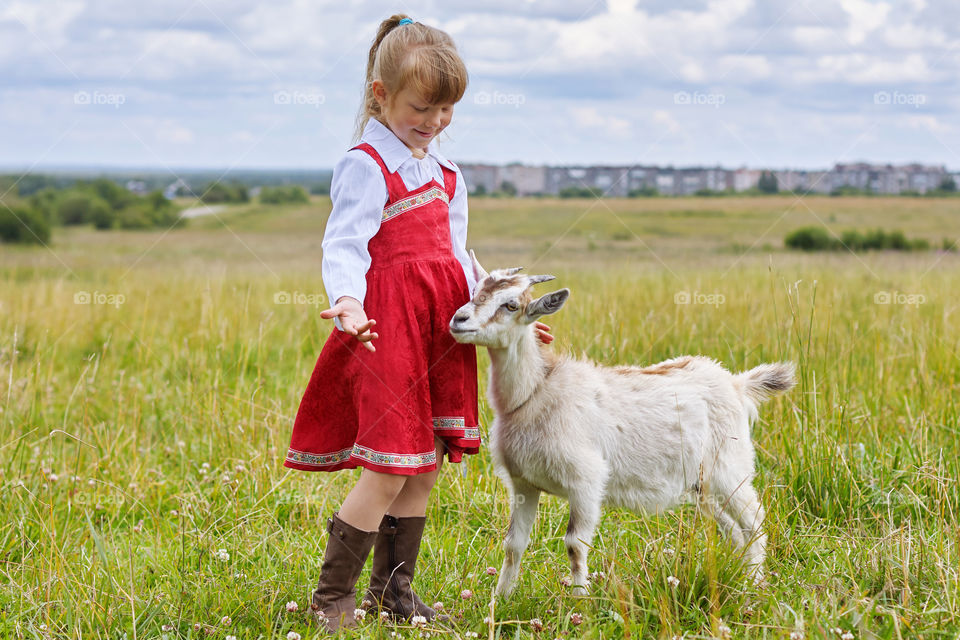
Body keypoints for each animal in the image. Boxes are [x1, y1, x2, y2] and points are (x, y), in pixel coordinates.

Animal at [450, 252, 796, 596]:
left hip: (729, 469)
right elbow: (513, 545)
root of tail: (737, 384)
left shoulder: (586, 481)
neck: (534, 392)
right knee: (733, 530)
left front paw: (579, 602)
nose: (459, 320)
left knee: (754, 522)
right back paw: (738, 581)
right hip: (702, 485)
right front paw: (500, 600)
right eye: (474, 291)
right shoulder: (524, 483)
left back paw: (755, 587)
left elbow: (575, 545)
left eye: (510, 305)